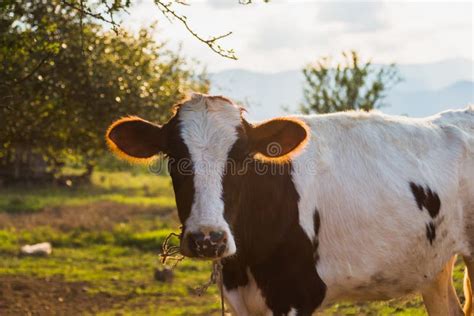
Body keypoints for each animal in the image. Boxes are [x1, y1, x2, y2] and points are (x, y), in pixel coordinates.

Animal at [106, 94, 474, 316]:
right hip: (435, 263)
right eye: (174, 157)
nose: (208, 239)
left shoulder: (296, 294)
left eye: (243, 158)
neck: (246, 262)